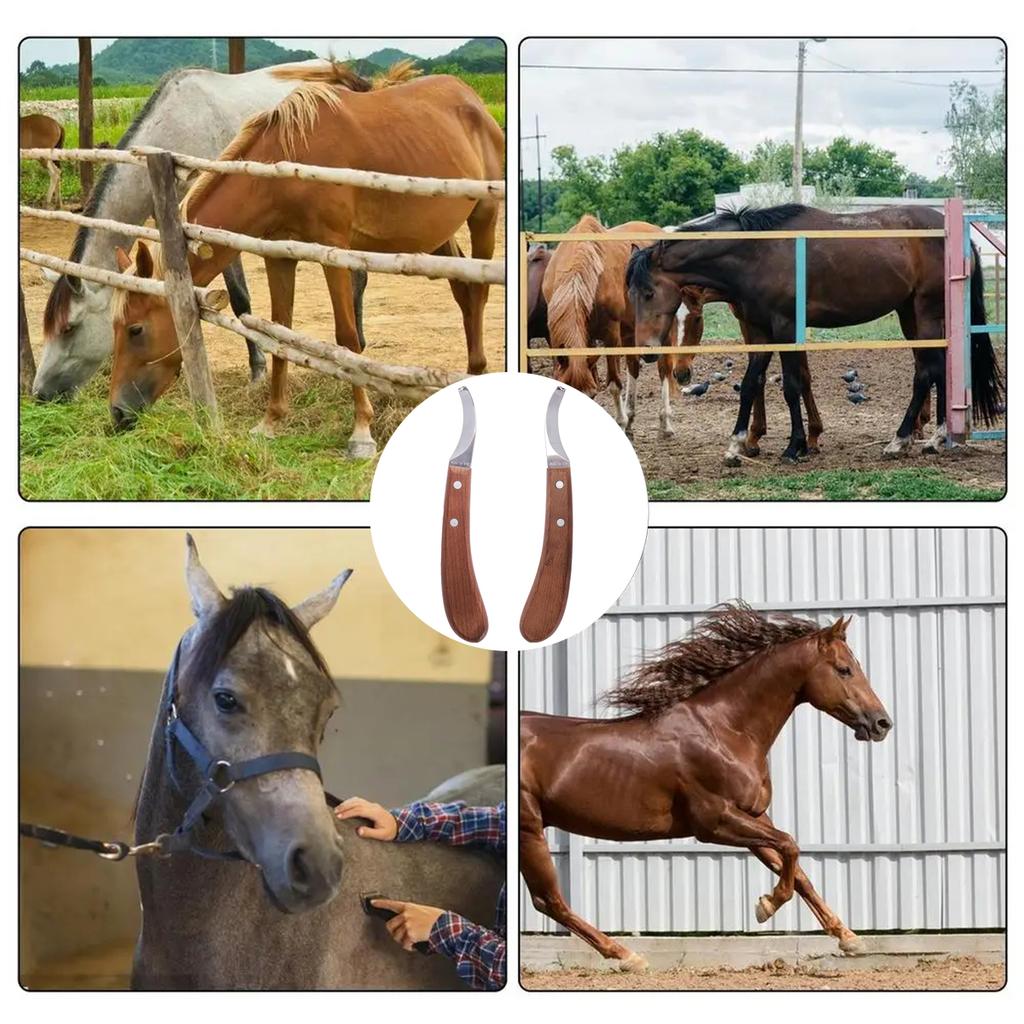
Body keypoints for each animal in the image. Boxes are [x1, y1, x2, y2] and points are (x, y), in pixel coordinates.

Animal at [109, 61, 503, 457]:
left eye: (135, 329)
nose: (117, 412)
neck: (281, 169)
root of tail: (470, 99)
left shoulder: (334, 250)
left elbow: (347, 337)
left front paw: (361, 430)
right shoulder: (278, 256)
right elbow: (278, 331)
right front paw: (270, 421)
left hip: (484, 216)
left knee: (479, 294)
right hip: (438, 235)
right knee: (463, 292)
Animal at [520, 602, 892, 970]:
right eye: (844, 669)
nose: (882, 723)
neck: (725, 730)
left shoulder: (754, 816)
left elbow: (796, 869)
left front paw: (849, 938)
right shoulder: (714, 822)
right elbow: (790, 846)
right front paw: (766, 905)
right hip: (529, 828)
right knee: (548, 900)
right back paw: (627, 956)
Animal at [543, 215, 686, 439]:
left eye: (591, 394)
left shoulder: (611, 336)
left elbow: (613, 384)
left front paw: (620, 422)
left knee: (664, 369)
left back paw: (665, 423)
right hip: (631, 331)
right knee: (634, 367)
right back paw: (631, 419)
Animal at [627, 203, 1003, 464]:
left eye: (649, 292)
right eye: (631, 294)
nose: (647, 351)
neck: (758, 254)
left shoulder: (785, 327)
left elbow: (792, 385)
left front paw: (795, 446)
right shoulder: (761, 331)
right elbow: (751, 383)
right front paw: (737, 444)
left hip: (925, 314)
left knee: (927, 372)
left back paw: (902, 441)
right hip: (910, 315)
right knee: (937, 369)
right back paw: (930, 438)